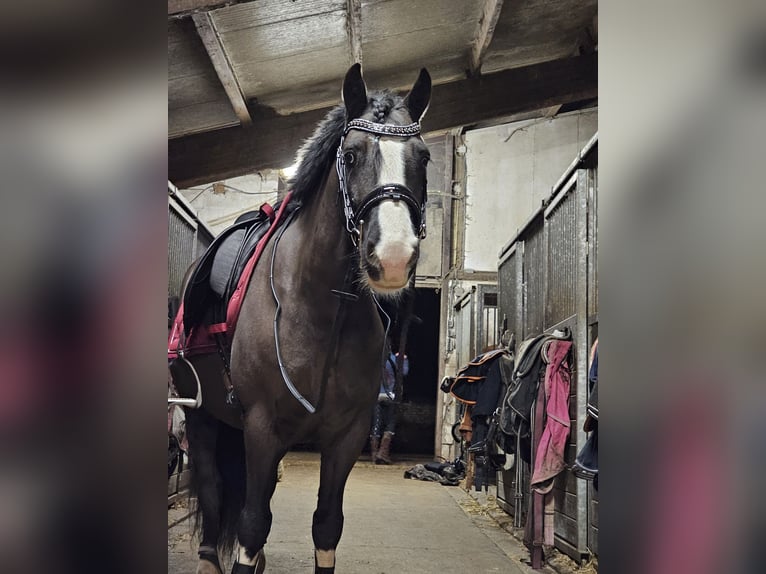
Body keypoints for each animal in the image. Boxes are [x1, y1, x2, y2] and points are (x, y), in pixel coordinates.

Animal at [176, 64, 436, 574]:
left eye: (424, 157)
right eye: (351, 156)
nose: (394, 257)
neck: (322, 307)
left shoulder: (346, 436)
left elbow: (326, 525)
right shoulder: (262, 425)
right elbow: (253, 523)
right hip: (202, 418)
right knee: (214, 490)